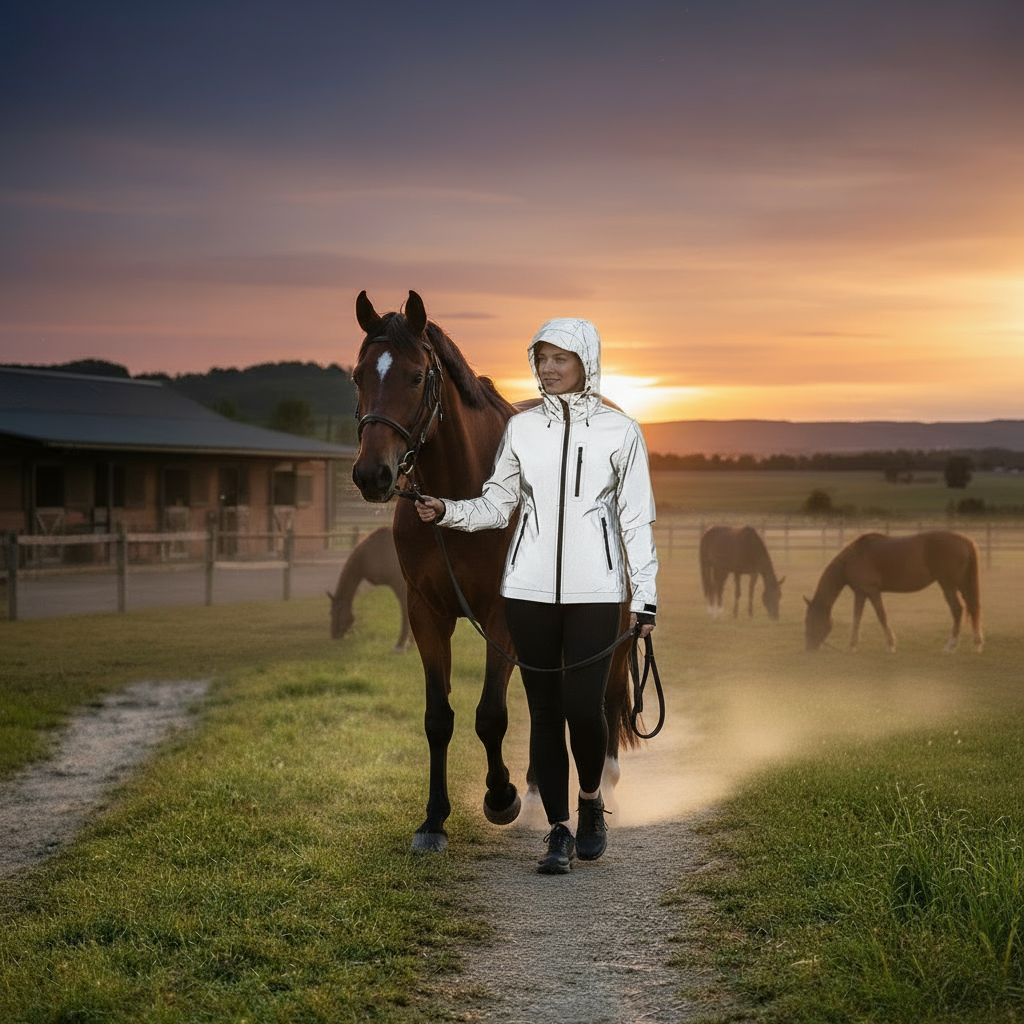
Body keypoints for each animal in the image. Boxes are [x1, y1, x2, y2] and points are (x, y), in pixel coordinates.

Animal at [804, 530, 983, 654]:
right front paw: (851, 646)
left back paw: (950, 646)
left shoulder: (872, 591)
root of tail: (965, 540)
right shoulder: (861, 593)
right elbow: (857, 618)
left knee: (957, 610)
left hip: (948, 586)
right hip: (962, 585)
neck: (854, 557)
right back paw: (977, 643)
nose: (809, 647)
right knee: (972, 608)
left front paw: (890, 645)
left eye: (810, 620)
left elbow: (881, 615)